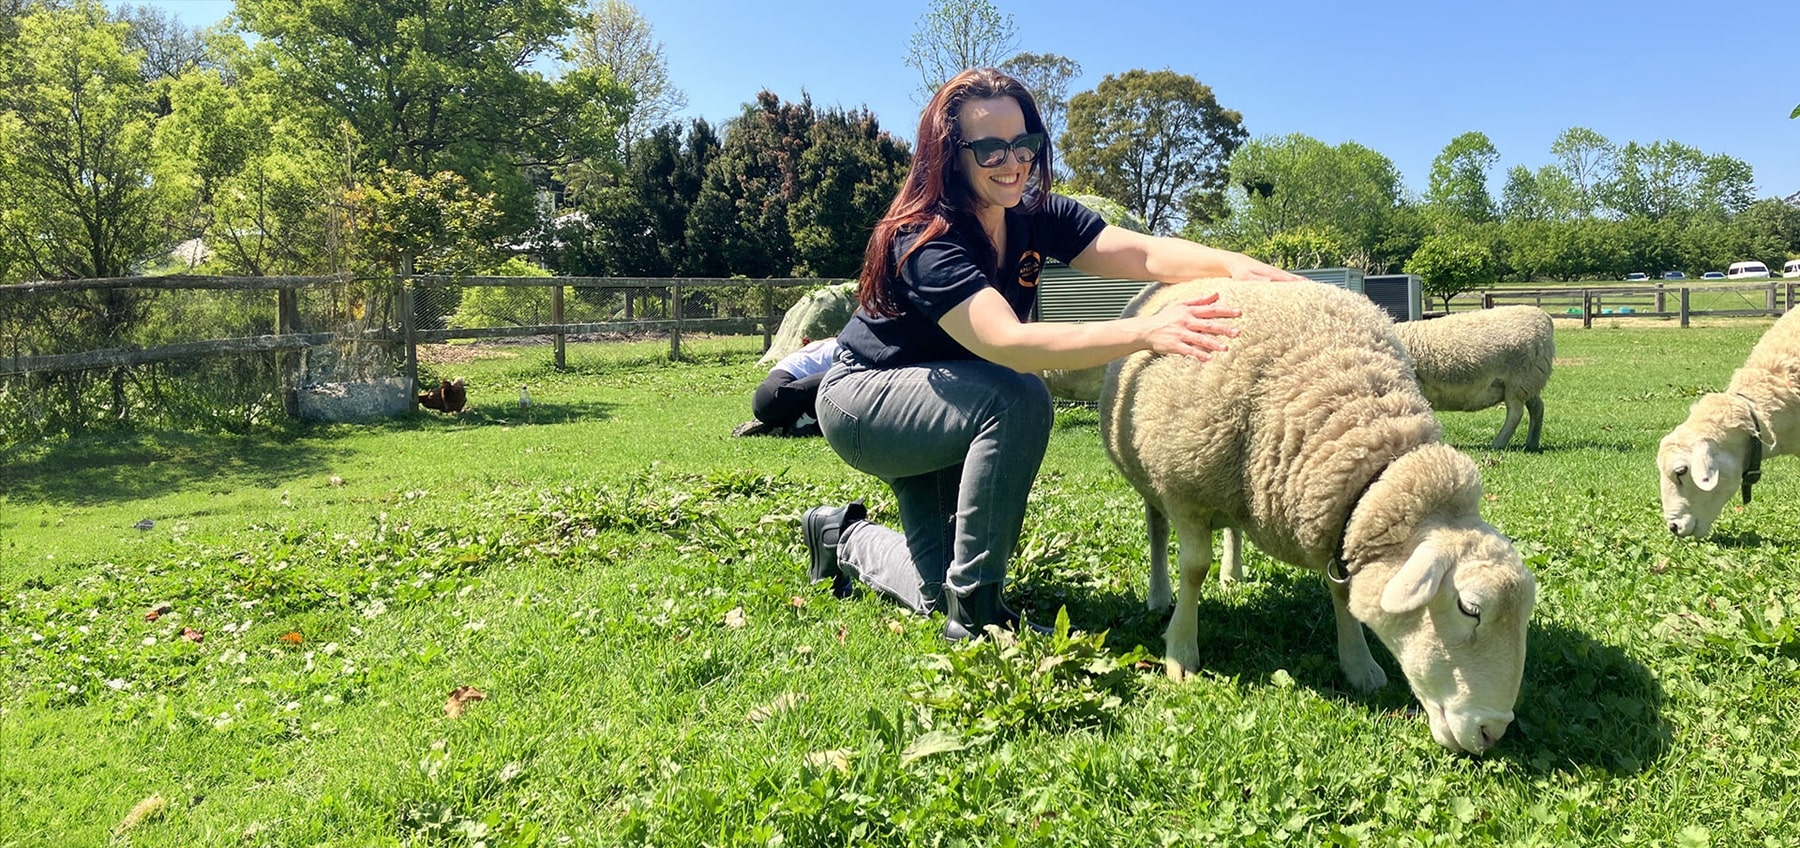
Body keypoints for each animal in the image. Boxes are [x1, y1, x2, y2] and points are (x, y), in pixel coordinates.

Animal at [1382, 306, 1555, 451]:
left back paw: (1498, 443)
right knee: (1537, 407)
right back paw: (1531, 443)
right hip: (1529, 381)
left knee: (1516, 413)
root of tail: (1545, 318)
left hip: (1518, 380)